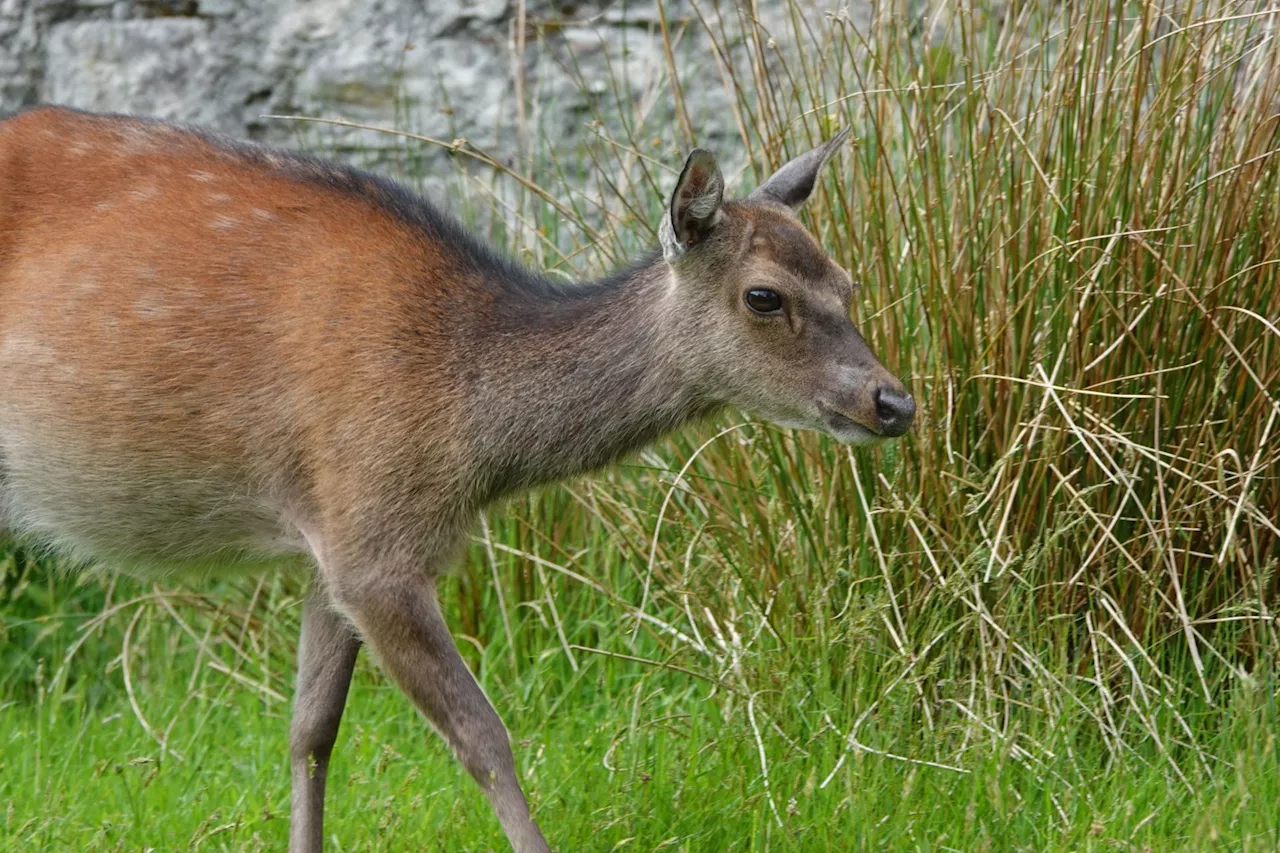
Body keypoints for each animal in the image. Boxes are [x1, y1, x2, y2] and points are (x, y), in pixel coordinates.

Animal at [2, 106, 921, 850]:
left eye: (846, 281)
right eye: (764, 295)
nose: (894, 402)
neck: (466, 437)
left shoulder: (333, 535)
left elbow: (310, 730)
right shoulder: (375, 542)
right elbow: (483, 736)